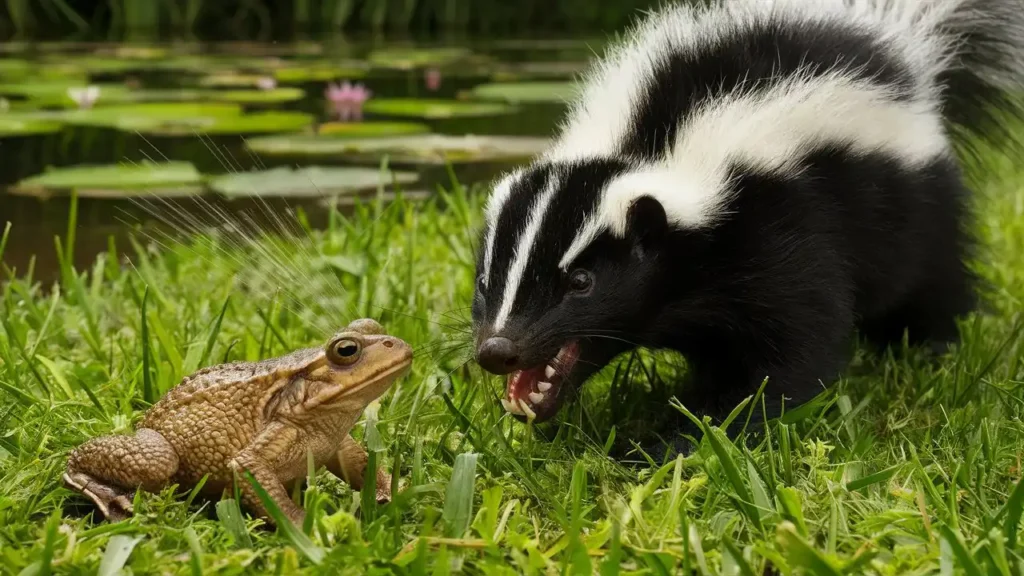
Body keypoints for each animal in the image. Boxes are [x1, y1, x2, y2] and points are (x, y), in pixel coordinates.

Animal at [468, 0, 1024, 434]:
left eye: (582, 282)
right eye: (484, 281)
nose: (497, 349)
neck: (651, 151)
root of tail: (906, 45)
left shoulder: (779, 225)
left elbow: (789, 356)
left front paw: (681, 439)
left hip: (916, 201)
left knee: (934, 282)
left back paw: (933, 351)